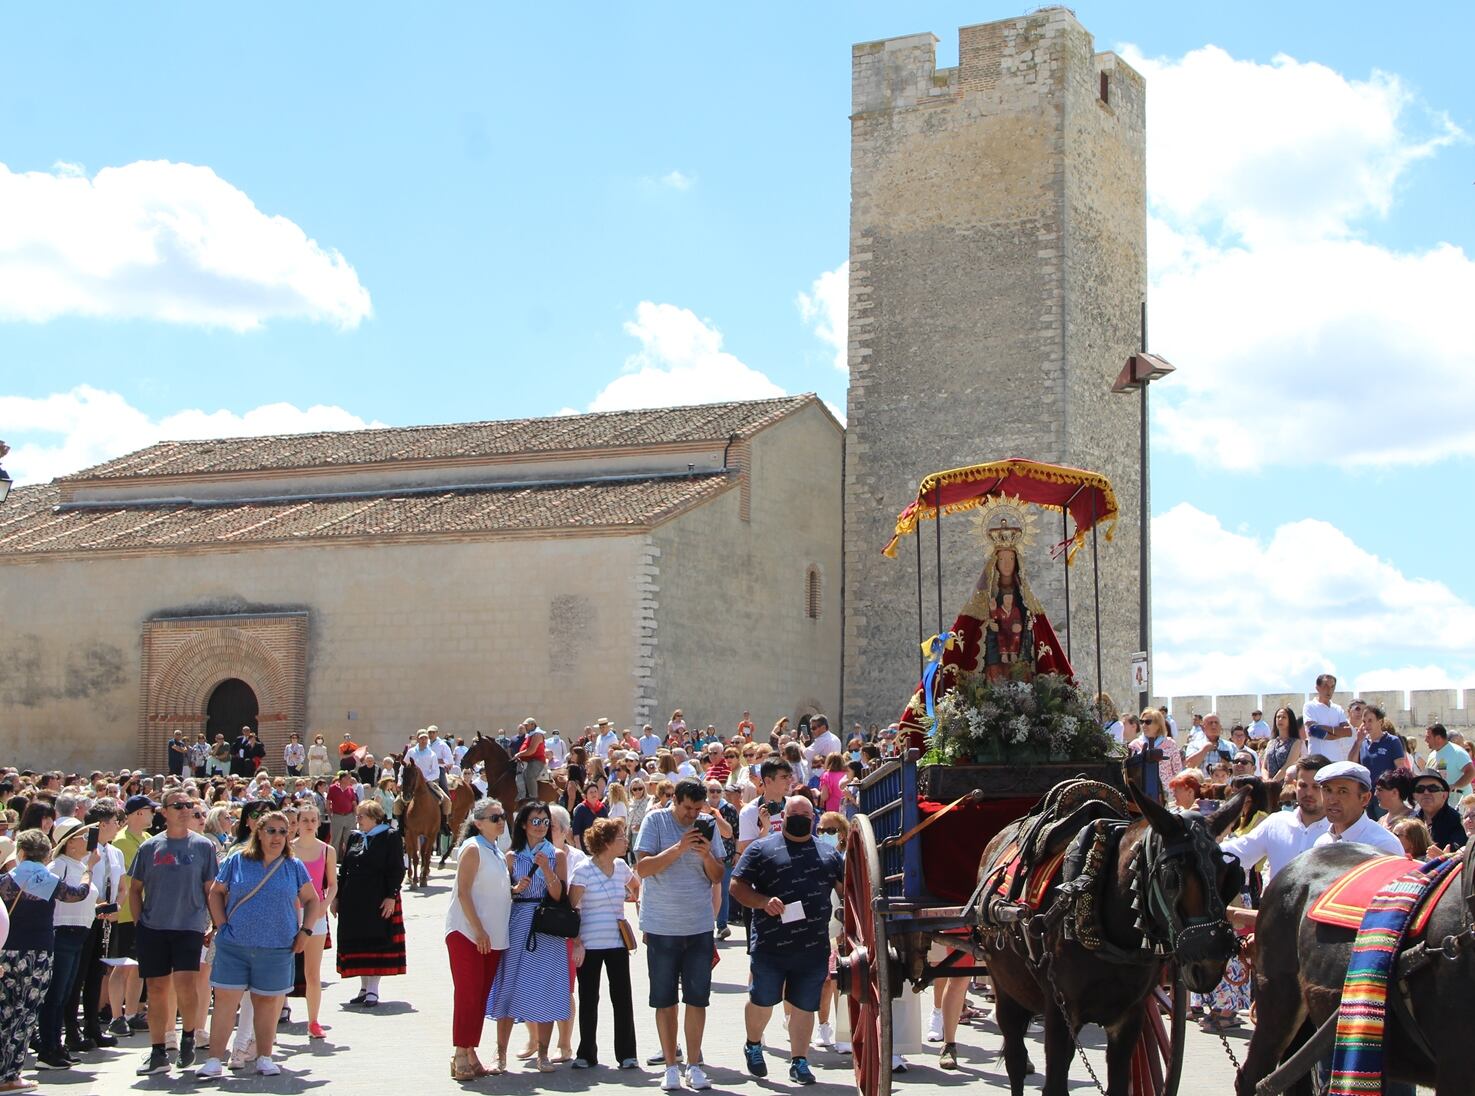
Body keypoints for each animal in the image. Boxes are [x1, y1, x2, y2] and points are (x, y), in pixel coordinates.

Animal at [979, 784, 1244, 1096]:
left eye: (1229, 877)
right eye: (1171, 878)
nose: (1211, 957)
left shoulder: (1129, 1017)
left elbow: (1119, 1083)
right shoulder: (1060, 1012)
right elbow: (1054, 1084)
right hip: (1006, 988)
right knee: (1016, 1061)